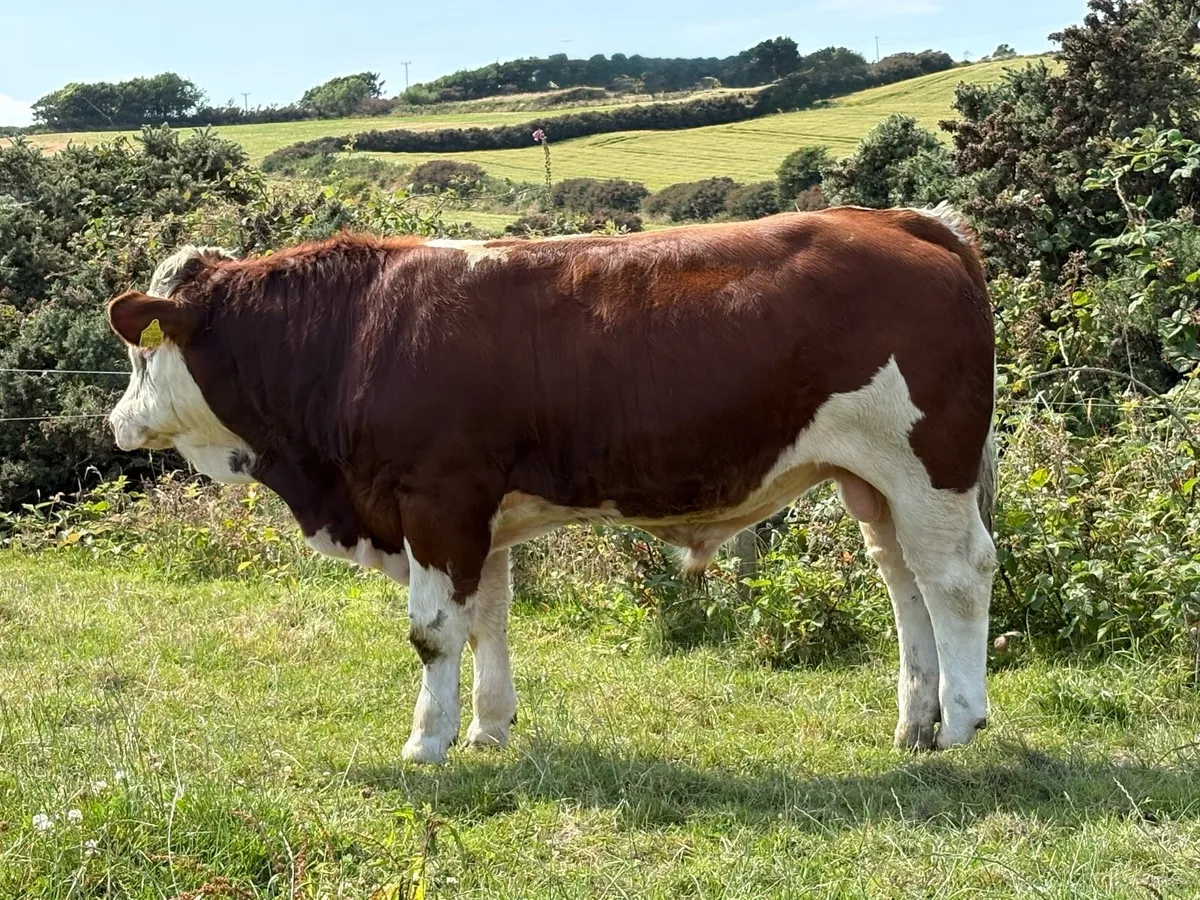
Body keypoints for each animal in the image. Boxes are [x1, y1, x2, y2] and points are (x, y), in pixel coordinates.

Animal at [104, 204, 997, 765]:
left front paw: (426, 743)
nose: (117, 422)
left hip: (928, 468)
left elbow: (435, 631)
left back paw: (961, 722)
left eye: (143, 353)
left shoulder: (437, 500)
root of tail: (899, 220)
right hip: (873, 482)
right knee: (904, 582)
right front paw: (488, 731)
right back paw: (916, 721)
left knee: (955, 578)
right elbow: (488, 620)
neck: (357, 335)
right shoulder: (480, 516)